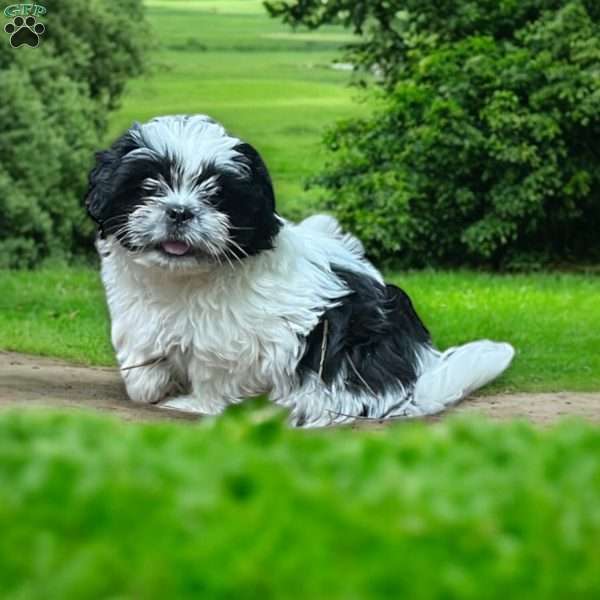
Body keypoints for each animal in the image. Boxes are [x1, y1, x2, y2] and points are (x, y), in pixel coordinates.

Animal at [86, 115, 512, 426]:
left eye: (217, 195)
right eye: (149, 185)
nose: (179, 211)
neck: (183, 277)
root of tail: (417, 375)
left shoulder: (234, 341)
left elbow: (214, 374)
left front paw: (194, 404)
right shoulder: (140, 314)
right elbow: (143, 353)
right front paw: (151, 386)